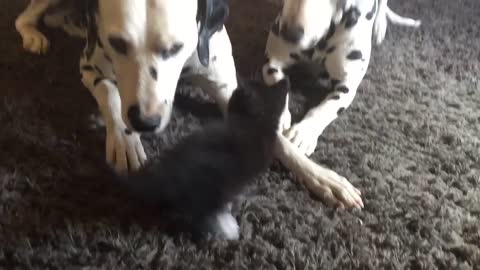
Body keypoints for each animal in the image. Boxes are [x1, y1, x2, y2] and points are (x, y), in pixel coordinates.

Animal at [15, 0, 237, 172]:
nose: (144, 122)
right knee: (23, 19)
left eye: (176, 47)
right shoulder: (90, 68)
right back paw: (33, 36)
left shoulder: (225, 85)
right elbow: (110, 94)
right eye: (118, 44)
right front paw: (124, 139)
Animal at [262, 0, 420, 156]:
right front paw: (280, 116)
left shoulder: (346, 86)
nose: (288, 34)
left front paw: (303, 132)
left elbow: (324, 109)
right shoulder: (272, 64)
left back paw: (379, 26)